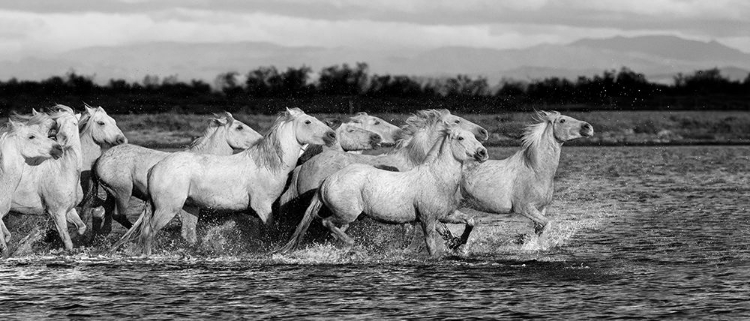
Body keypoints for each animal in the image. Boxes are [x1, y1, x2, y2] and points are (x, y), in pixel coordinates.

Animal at [83, 111, 262, 234]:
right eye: (239, 127)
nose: (261, 139)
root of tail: (99, 160)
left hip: (111, 194)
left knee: (100, 213)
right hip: (122, 192)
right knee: (117, 215)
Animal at [113, 109, 336, 254]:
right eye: (307, 122)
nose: (332, 134)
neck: (268, 164)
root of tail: (155, 168)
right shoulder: (263, 206)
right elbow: (268, 233)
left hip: (189, 208)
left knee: (186, 234)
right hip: (167, 209)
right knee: (149, 232)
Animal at [280, 125, 488, 255]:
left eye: (474, 137)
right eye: (461, 138)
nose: (483, 153)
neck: (436, 178)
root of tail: (326, 181)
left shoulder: (444, 215)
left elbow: (470, 221)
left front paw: (458, 243)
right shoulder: (427, 219)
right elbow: (432, 248)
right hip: (347, 214)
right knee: (327, 223)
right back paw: (354, 245)